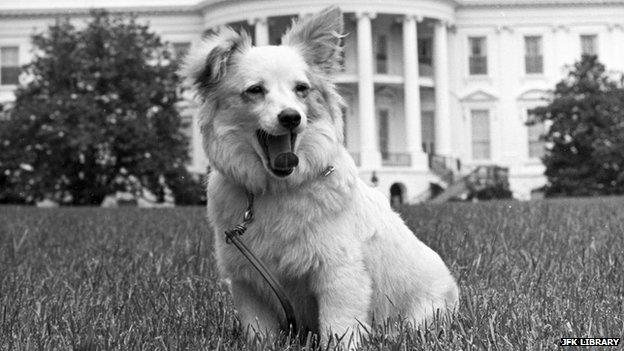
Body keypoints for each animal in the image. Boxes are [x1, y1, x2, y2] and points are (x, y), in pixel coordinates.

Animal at [180, 6, 458, 350]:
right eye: (255, 90)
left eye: (302, 88)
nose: (291, 117)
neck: (277, 189)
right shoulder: (248, 282)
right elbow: (259, 333)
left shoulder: (340, 275)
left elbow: (338, 329)